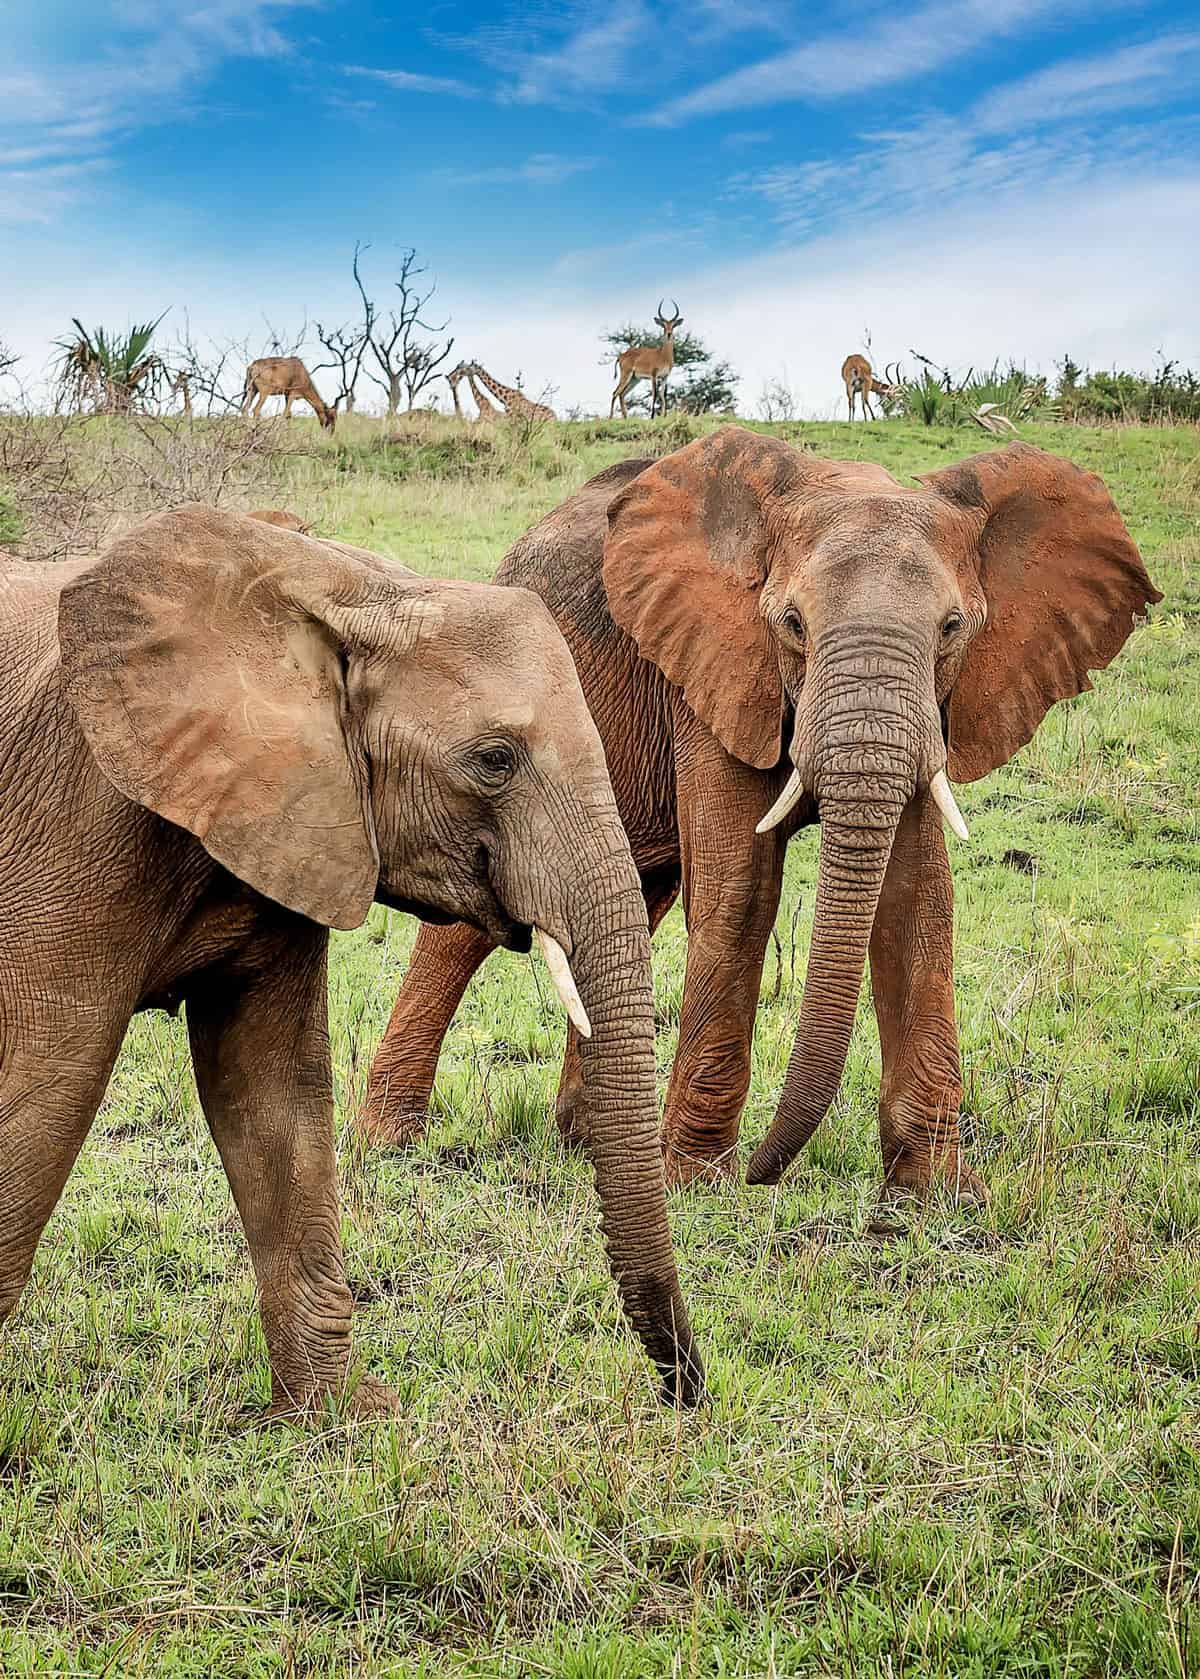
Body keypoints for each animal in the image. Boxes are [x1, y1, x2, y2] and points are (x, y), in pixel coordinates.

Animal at [2, 500, 704, 1417]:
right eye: (494, 759)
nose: (688, 1388)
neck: (341, 588)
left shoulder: (298, 814)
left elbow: (273, 1087)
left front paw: (340, 1419)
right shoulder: (81, 822)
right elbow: (49, 1083)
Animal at [360, 426, 1161, 1202]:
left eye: (953, 628)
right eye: (793, 623)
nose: (764, 1172)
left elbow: (917, 902)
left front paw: (935, 1198)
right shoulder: (713, 669)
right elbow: (741, 890)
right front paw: (695, 1179)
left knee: (627, 905)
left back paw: (584, 1145)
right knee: (464, 934)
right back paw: (390, 1142)